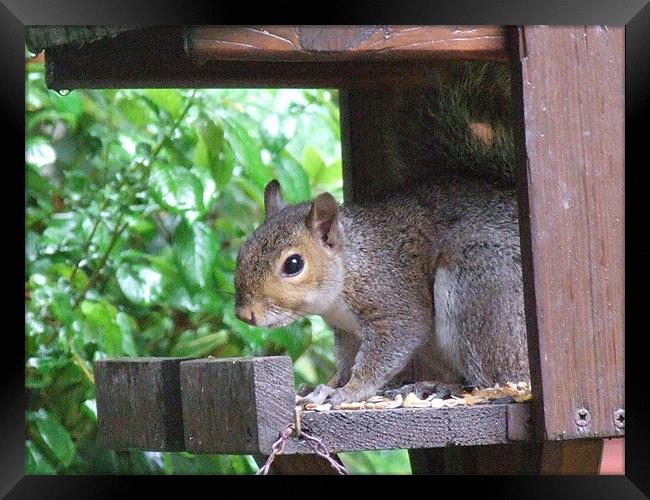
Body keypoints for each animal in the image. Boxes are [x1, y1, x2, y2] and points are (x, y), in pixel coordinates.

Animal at [233, 62, 528, 406]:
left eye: (293, 264)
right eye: (243, 252)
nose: (245, 314)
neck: (351, 265)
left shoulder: (393, 300)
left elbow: (387, 349)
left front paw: (348, 391)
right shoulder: (346, 332)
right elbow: (346, 361)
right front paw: (326, 385)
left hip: (481, 285)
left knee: (496, 377)